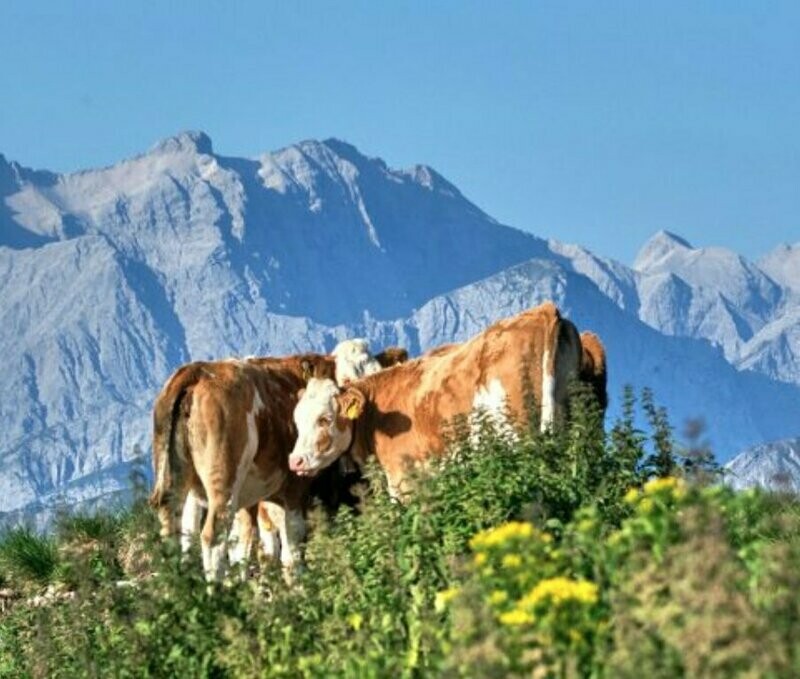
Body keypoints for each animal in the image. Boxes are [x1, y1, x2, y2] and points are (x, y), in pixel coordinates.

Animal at [286, 306, 580, 496]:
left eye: (324, 419)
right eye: (297, 422)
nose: (295, 461)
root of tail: (545, 311)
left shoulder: (403, 481)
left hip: (517, 437)